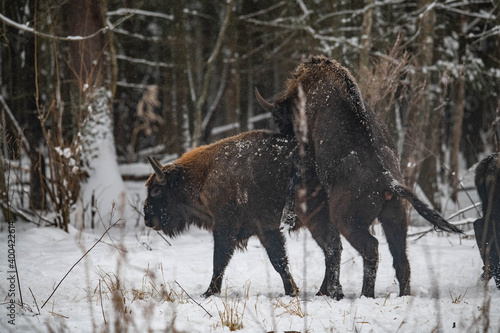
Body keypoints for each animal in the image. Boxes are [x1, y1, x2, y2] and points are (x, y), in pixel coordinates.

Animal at [143, 129, 342, 296]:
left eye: (156, 191)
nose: (147, 219)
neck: (203, 176)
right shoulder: (267, 229)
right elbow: (279, 261)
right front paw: (291, 291)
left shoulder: (225, 228)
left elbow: (219, 261)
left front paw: (209, 293)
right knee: (331, 249)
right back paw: (324, 292)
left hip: (316, 217)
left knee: (332, 248)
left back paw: (330, 292)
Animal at [256, 55, 462, 298]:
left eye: (279, 119)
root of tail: (388, 180)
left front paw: (287, 217)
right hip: (395, 217)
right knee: (401, 258)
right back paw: (401, 295)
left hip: (347, 221)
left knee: (371, 248)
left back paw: (365, 293)